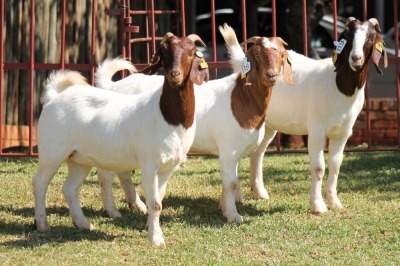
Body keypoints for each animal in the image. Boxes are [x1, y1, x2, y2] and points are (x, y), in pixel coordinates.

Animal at [31, 32, 209, 246]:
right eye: (164, 52)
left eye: (191, 52)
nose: (175, 75)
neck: (166, 115)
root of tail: (53, 98)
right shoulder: (149, 164)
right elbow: (155, 203)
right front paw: (156, 239)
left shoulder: (168, 167)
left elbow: (160, 199)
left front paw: (150, 227)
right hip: (52, 151)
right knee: (39, 183)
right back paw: (42, 224)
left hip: (79, 159)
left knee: (69, 188)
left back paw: (83, 224)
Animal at [94, 23, 294, 222]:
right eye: (257, 54)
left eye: (281, 54)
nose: (271, 75)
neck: (241, 97)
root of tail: (113, 86)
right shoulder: (229, 148)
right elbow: (231, 183)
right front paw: (233, 215)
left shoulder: (234, 150)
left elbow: (231, 181)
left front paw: (224, 207)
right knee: (106, 174)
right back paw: (112, 211)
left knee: (123, 171)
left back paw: (138, 205)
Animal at [223, 17, 386, 214]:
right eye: (348, 36)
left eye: (370, 38)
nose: (356, 58)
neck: (337, 85)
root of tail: (241, 62)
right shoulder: (317, 129)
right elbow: (318, 167)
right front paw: (318, 206)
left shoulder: (343, 132)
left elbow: (336, 164)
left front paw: (334, 202)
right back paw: (237, 197)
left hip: (267, 125)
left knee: (257, 153)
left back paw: (260, 192)